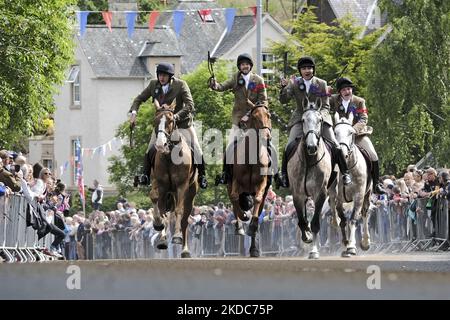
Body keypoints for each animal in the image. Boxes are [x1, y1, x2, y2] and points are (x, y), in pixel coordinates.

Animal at [149, 100, 198, 258]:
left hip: (190, 193)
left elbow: (178, 211)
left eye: (170, 121)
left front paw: (176, 237)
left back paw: (185, 249)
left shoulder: (182, 186)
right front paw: (159, 228)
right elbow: (158, 205)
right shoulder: (161, 185)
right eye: (155, 121)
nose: (160, 144)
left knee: (184, 220)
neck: (170, 156)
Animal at [227, 104, 272, 258]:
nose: (266, 136)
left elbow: (257, 200)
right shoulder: (236, 181)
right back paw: (240, 226)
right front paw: (244, 217)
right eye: (255, 117)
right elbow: (235, 198)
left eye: (269, 115)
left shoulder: (262, 184)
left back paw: (254, 247)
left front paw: (252, 226)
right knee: (234, 200)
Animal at [286, 99, 332, 258]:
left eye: (320, 120)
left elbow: (316, 223)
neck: (310, 160)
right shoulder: (297, 194)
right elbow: (302, 220)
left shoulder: (321, 194)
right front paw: (306, 236)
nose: (311, 146)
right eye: (303, 120)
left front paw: (313, 251)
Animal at [328, 113, 370, 258]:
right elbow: (343, 219)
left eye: (351, 133)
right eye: (335, 132)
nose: (342, 153)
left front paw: (351, 247)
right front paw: (346, 242)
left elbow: (352, 220)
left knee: (365, 213)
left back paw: (365, 242)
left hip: (367, 194)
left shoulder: (359, 196)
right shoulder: (340, 198)